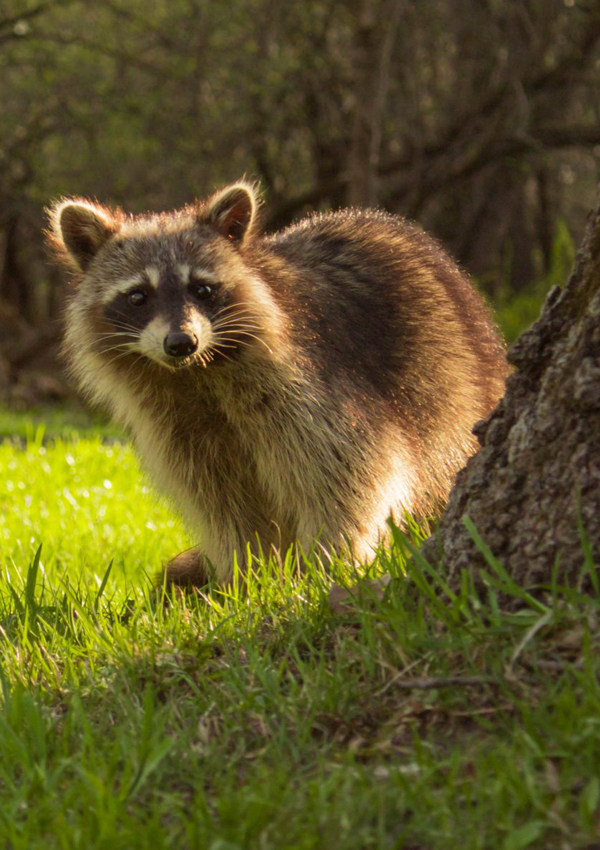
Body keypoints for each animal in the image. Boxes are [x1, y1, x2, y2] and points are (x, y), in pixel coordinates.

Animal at [47, 182, 508, 587]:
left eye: (203, 289)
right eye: (138, 296)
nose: (180, 343)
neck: (195, 375)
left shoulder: (313, 384)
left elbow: (348, 472)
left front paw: (327, 563)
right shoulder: (175, 424)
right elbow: (221, 500)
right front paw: (247, 573)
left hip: (453, 381)